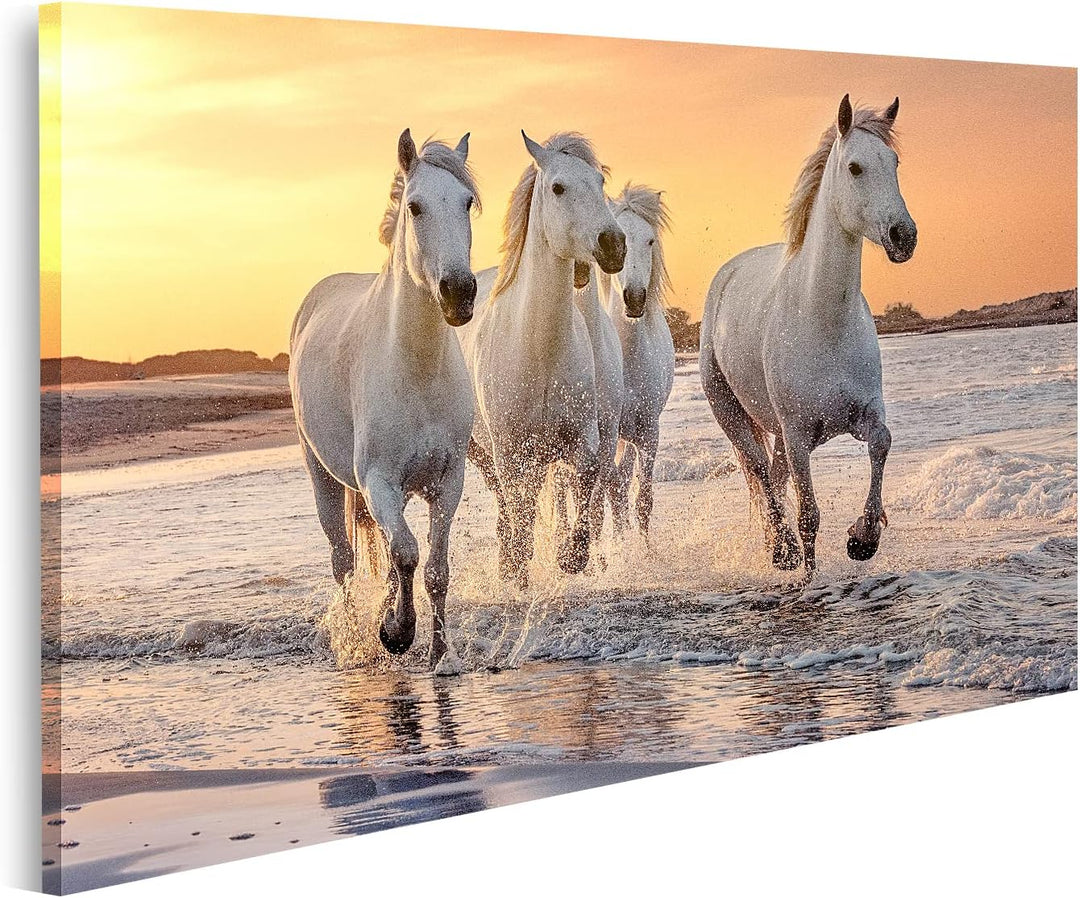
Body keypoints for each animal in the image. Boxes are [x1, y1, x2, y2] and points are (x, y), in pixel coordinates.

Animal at [289, 130, 480, 666]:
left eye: (467, 202)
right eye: (415, 206)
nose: (459, 293)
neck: (414, 370)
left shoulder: (447, 482)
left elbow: (433, 569)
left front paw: (439, 654)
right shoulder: (378, 482)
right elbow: (407, 554)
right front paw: (396, 632)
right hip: (324, 479)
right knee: (344, 562)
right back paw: (357, 635)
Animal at [458, 131, 626, 588]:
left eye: (600, 183)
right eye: (558, 188)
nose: (614, 245)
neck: (539, 352)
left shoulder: (582, 440)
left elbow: (586, 487)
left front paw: (571, 557)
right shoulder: (512, 453)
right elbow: (522, 512)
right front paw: (519, 570)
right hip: (485, 454)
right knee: (508, 505)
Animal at [699, 95, 917, 574]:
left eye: (894, 162)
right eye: (854, 167)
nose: (904, 236)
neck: (823, 322)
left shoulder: (864, 415)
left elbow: (883, 444)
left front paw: (862, 538)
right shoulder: (799, 436)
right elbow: (809, 518)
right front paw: (810, 574)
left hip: (777, 432)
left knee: (773, 477)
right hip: (734, 415)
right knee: (762, 472)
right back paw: (781, 551)